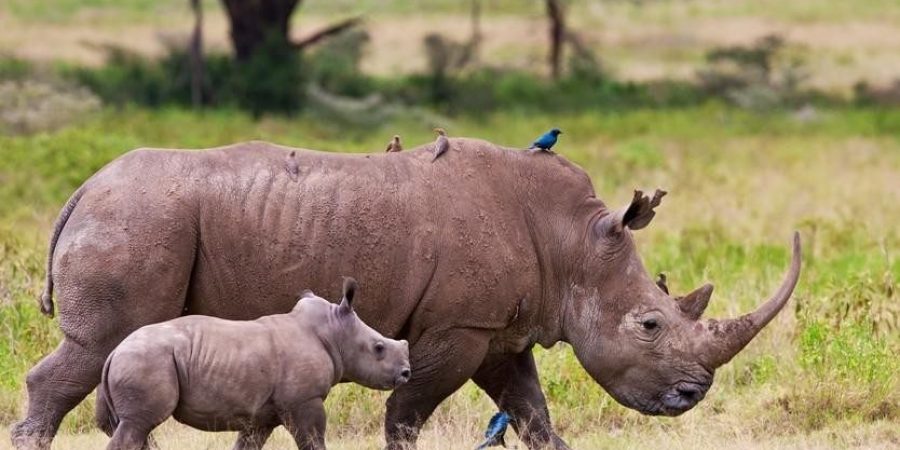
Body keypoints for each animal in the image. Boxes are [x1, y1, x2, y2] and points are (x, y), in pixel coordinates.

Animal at [96, 277, 410, 450]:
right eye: (379, 348)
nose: (406, 373)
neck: (333, 332)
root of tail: (114, 352)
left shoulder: (260, 413)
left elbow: (247, 444)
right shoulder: (305, 400)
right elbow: (313, 441)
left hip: (138, 360)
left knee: (137, 429)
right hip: (145, 361)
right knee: (139, 424)